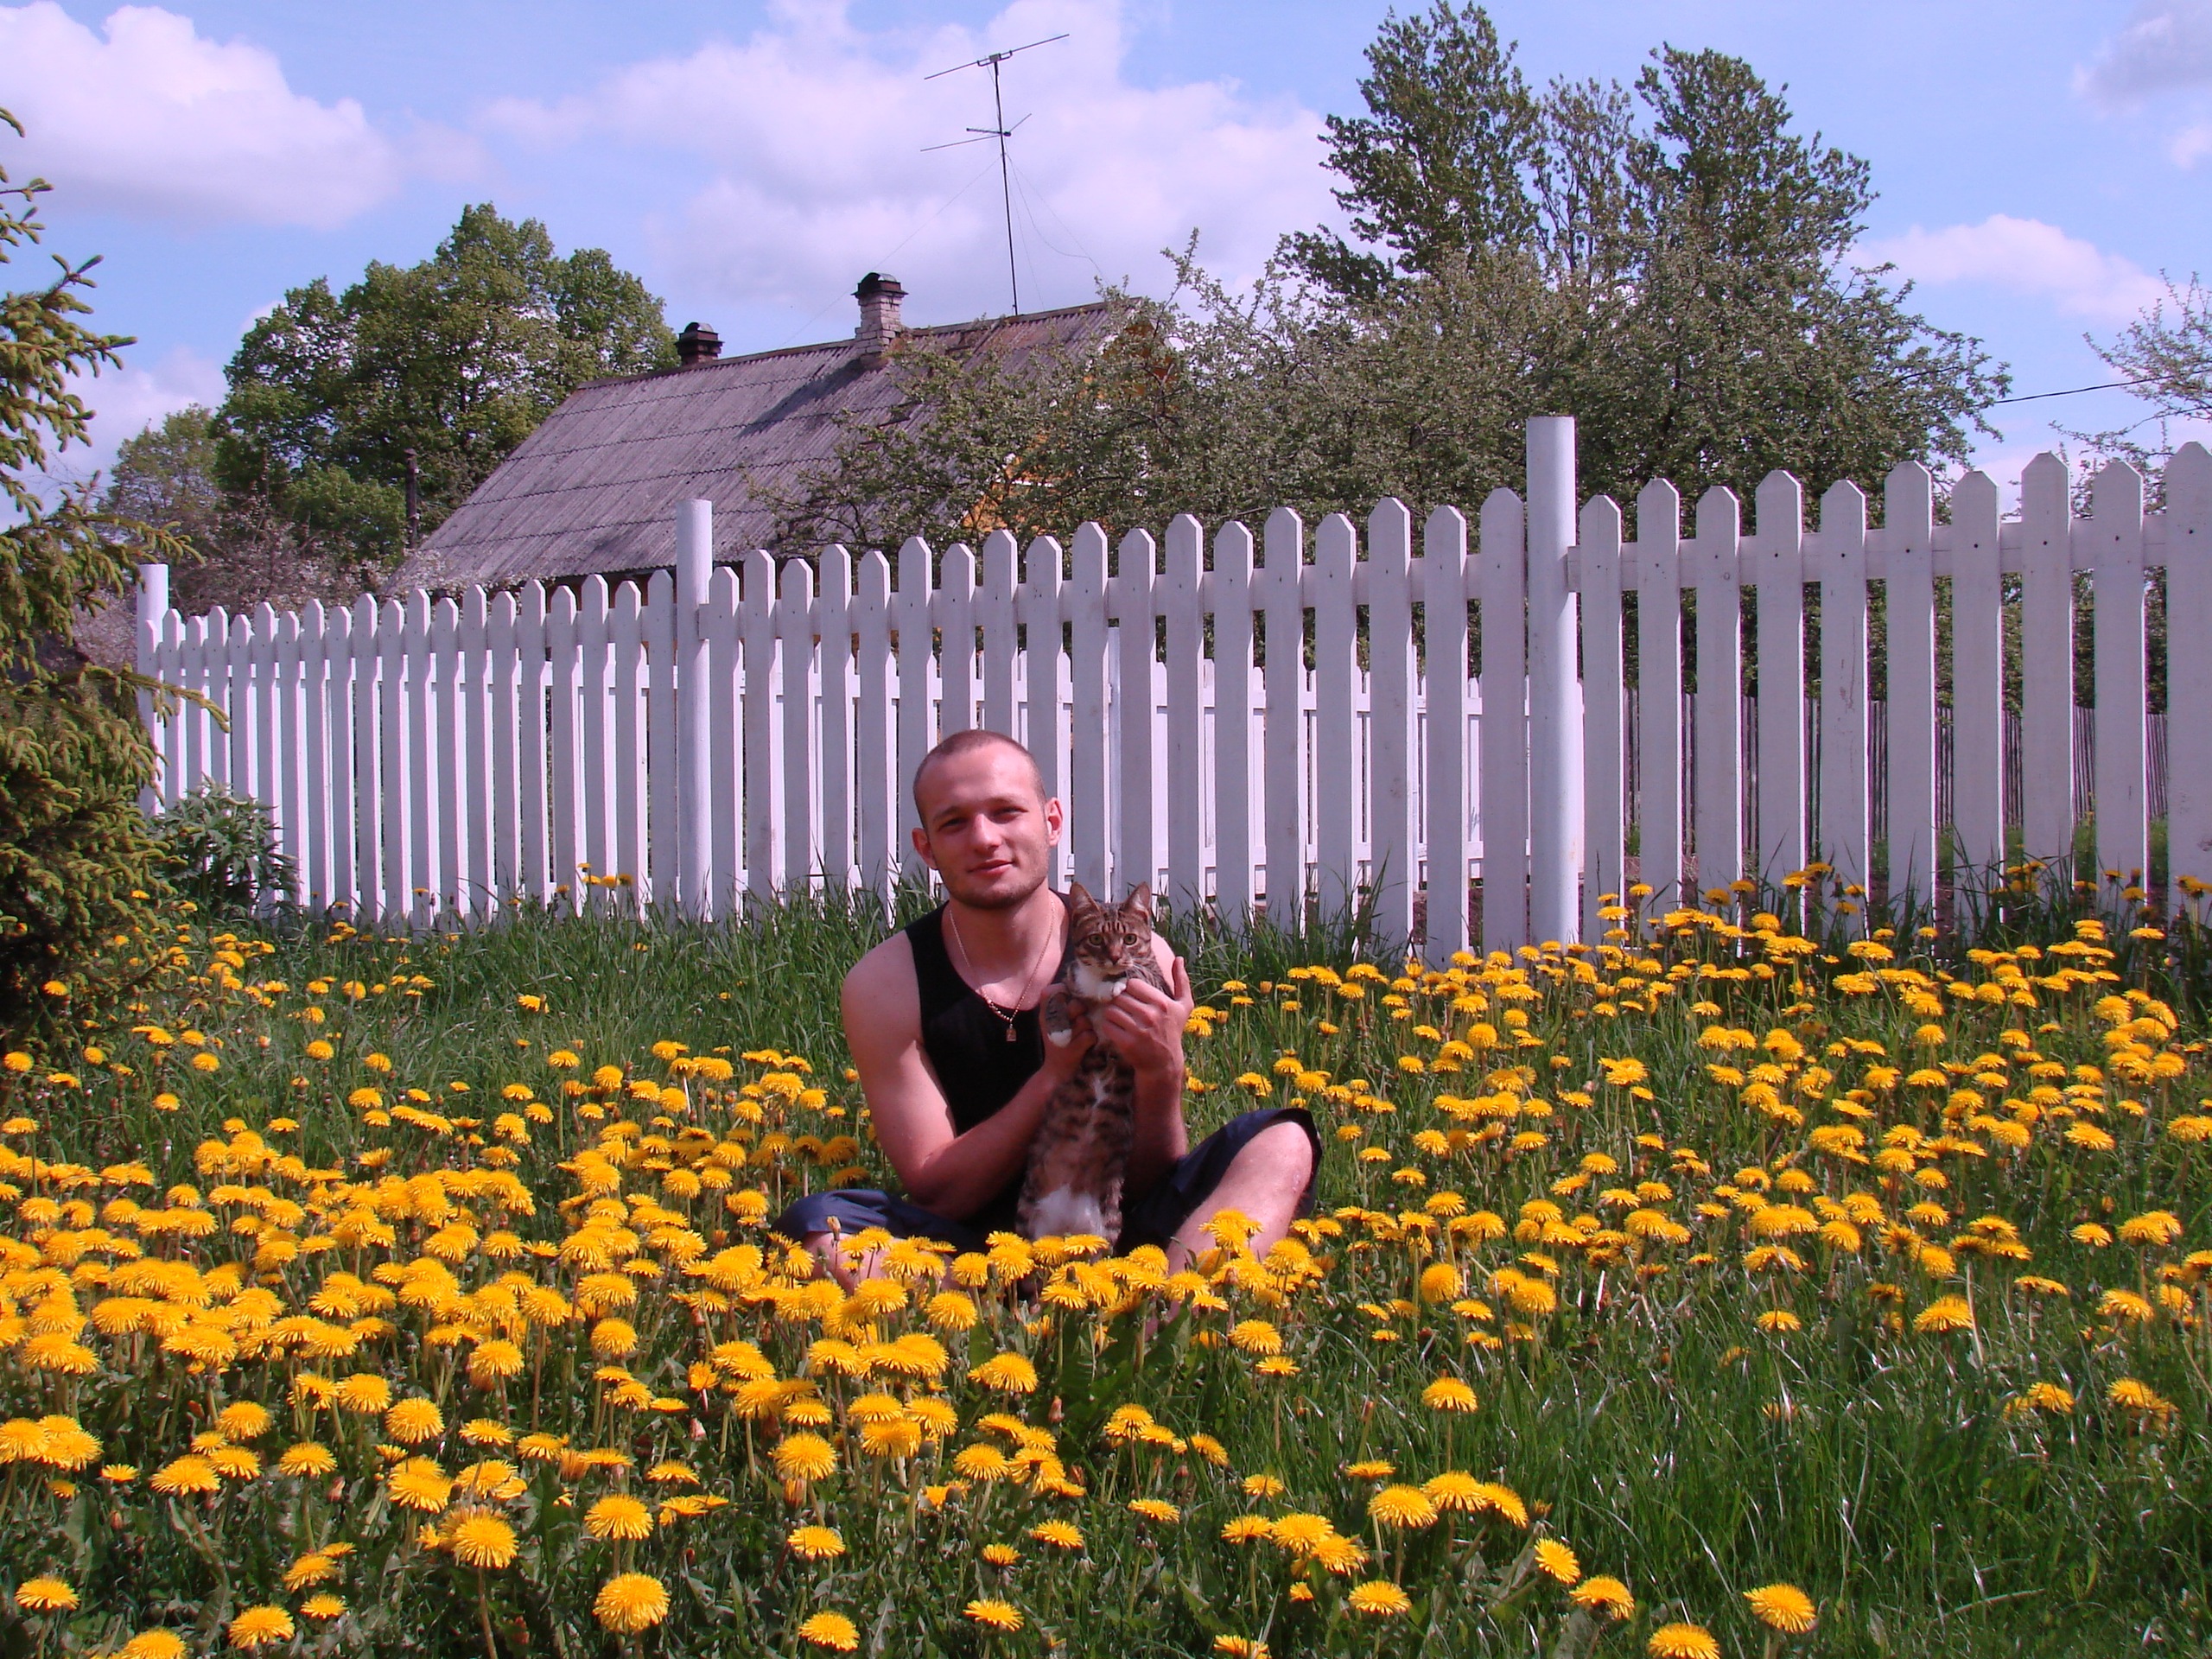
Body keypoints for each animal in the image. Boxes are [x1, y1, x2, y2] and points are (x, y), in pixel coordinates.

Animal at [1016, 882, 1165, 1243]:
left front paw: (1120, 979)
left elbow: (1140, 973)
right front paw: (1059, 1031)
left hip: (1108, 1224)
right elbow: (1058, 995)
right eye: (1096, 939)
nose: (1114, 957)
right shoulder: (1068, 983)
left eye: (1130, 939)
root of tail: (1067, 1226)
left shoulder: (1158, 984)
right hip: (1027, 1215)